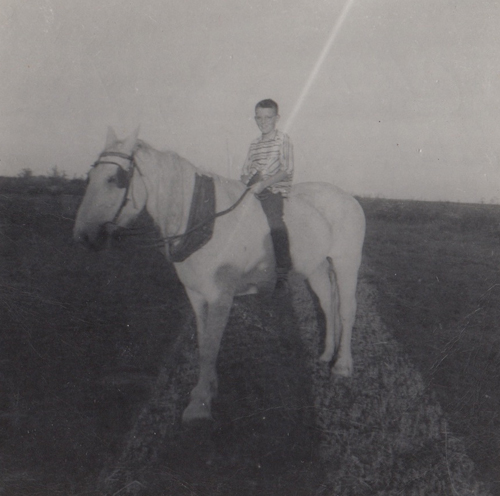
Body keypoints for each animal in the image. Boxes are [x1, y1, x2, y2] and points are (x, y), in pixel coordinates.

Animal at [73, 128, 364, 422]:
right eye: (90, 176)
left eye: (114, 179)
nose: (83, 236)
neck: (203, 220)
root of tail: (348, 198)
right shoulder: (196, 294)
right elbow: (204, 343)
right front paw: (207, 388)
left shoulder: (220, 297)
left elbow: (212, 346)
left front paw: (199, 404)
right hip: (316, 266)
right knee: (327, 304)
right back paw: (327, 354)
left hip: (346, 262)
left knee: (345, 310)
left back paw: (342, 365)